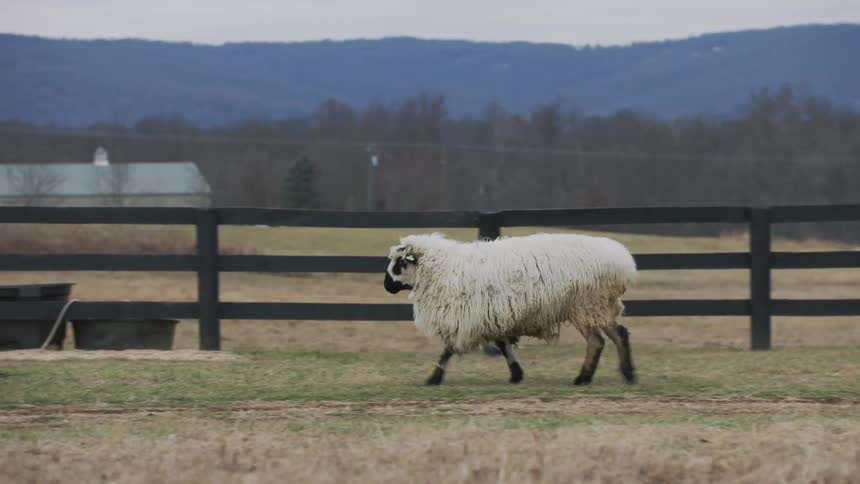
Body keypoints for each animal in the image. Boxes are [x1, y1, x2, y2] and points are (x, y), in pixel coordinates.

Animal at [384, 232, 637, 386]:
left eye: (399, 263)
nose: (386, 285)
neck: (443, 269)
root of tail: (623, 262)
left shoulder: (466, 317)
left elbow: (448, 350)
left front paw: (433, 377)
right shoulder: (489, 315)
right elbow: (503, 345)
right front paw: (516, 373)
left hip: (585, 305)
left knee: (596, 341)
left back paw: (583, 377)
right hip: (599, 306)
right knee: (619, 334)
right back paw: (628, 373)